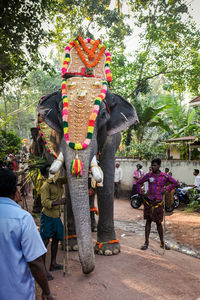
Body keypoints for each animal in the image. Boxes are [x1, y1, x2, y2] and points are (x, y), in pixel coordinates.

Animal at [33, 36, 139, 274]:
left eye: (102, 114)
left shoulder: (112, 137)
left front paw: (109, 250)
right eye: (61, 112)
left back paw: (92, 229)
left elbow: (106, 180)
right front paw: (71, 246)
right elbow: (68, 181)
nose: (86, 270)